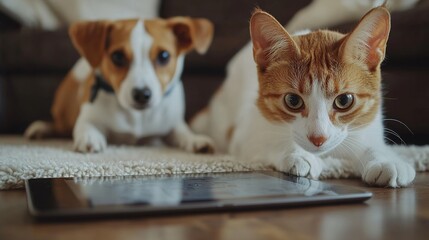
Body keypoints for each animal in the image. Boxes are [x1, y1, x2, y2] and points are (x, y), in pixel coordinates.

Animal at [24, 16, 214, 154]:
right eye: (118, 56)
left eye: (164, 56)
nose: (142, 95)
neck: (138, 116)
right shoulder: (88, 117)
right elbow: (86, 126)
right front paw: (89, 137)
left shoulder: (173, 124)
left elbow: (183, 132)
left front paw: (195, 139)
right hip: (65, 114)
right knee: (59, 126)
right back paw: (40, 128)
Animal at [190, 6, 414, 188]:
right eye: (293, 101)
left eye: (344, 101)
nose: (318, 139)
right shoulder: (245, 133)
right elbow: (271, 140)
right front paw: (297, 154)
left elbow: (371, 145)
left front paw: (387, 159)